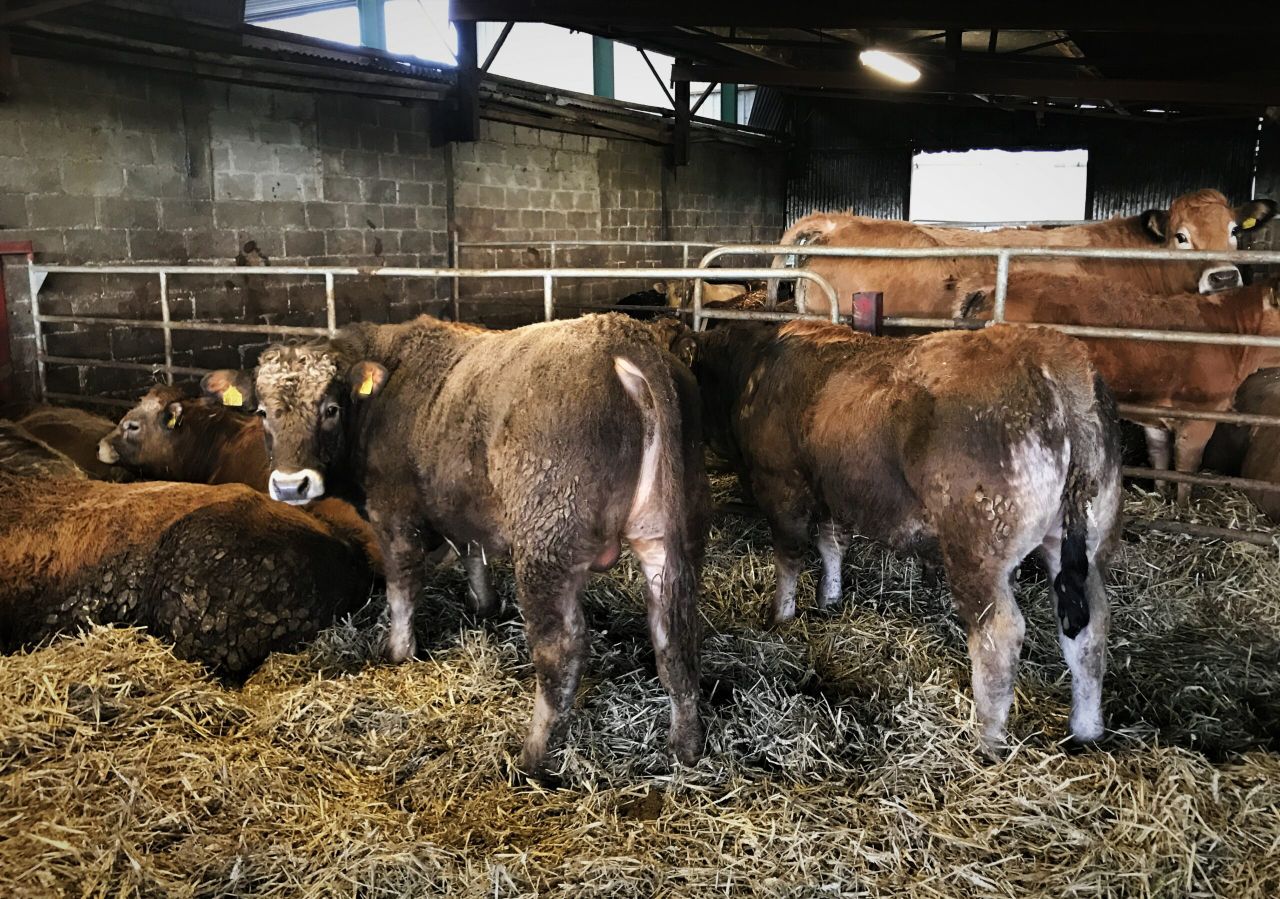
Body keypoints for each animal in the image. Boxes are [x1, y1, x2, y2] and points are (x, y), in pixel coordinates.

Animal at [202, 313, 710, 773]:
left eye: (330, 408)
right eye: (262, 412)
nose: (291, 486)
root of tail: (623, 335)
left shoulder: (394, 513)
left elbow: (402, 587)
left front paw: (398, 652)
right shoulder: (462, 506)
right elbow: (472, 553)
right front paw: (482, 605)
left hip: (546, 541)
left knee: (561, 647)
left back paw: (533, 756)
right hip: (669, 535)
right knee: (674, 634)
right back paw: (685, 746)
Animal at [689, 320, 1122, 756]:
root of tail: (1053, 357)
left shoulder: (782, 485)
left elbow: (790, 556)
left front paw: (780, 615)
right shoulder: (834, 491)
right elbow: (832, 543)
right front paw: (830, 598)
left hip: (977, 554)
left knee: (999, 634)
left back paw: (986, 739)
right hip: (1084, 543)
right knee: (1092, 630)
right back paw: (1086, 729)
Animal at [959, 273, 1280, 506]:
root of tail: (988, 290)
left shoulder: (1155, 416)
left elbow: (1159, 457)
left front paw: (1161, 495)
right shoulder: (1201, 415)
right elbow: (1187, 466)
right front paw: (1183, 508)